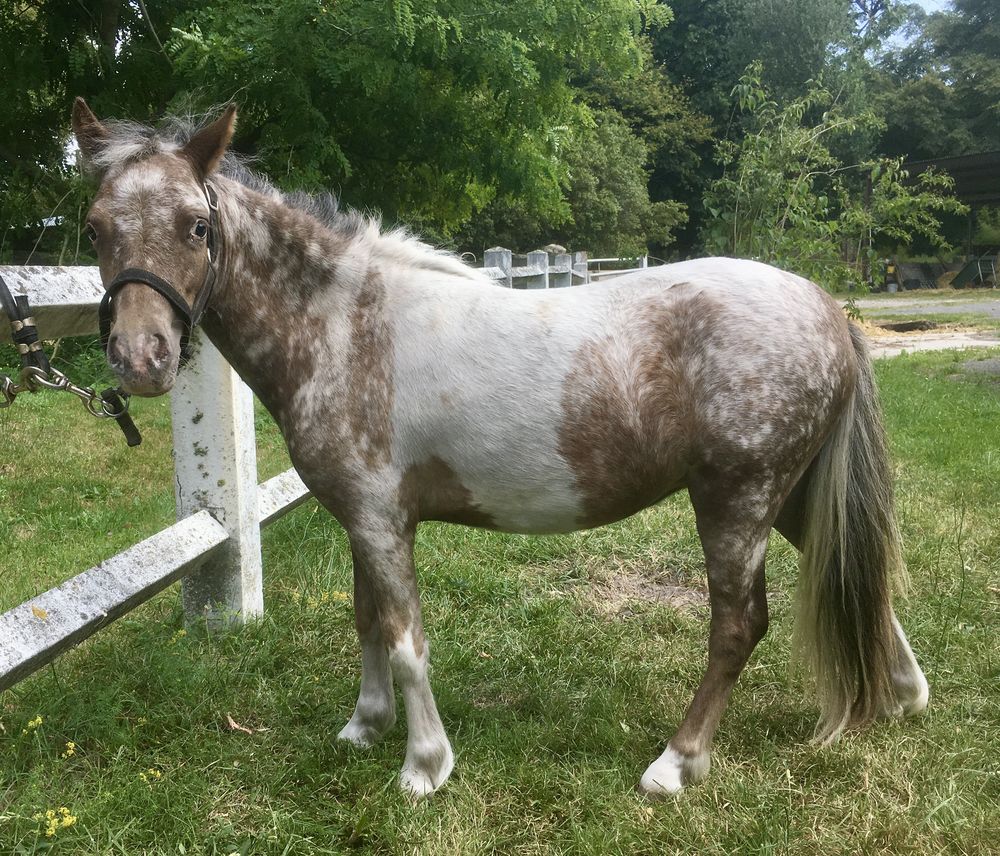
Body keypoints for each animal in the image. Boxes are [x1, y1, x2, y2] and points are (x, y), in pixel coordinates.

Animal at [70, 100, 929, 799]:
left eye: (197, 225)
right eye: (96, 227)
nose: (141, 358)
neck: (346, 326)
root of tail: (825, 308)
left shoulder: (381, 520)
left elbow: (406, 639)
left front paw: (423, 767)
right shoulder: (363, 518)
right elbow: (368, 620)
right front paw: (364, 727)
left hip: (737, 499)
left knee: (738, 626)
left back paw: (676, 764)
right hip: (790, 495)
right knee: (866, 577)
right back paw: (902, 695)